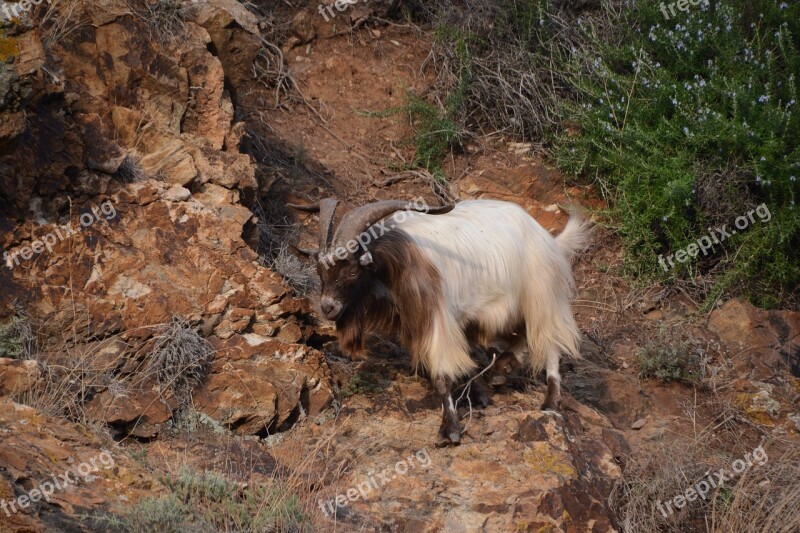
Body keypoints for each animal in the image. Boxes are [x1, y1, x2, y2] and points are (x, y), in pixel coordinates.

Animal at [290, 196, 592, 444]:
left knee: (549, 342)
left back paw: (550, 401)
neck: (400, 258)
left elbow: (442, 376)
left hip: (541, 296)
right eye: (320, 271)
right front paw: (478, 395)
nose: (328, 307)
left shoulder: (438, 319)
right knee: (521, 338)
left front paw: (450, 430)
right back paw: (500, 370)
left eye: (352, 271)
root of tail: (546, 238)